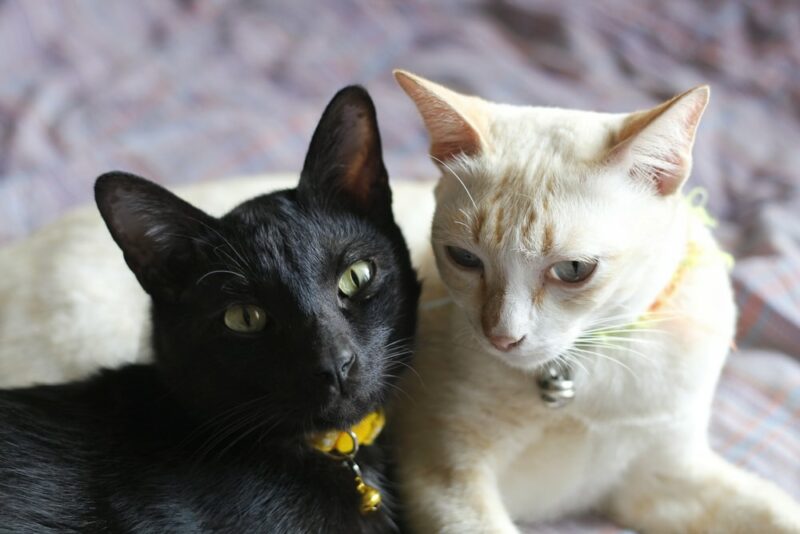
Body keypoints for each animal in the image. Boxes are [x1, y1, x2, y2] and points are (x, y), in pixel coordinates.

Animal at [392, 72, 800, 534]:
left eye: (573, 269)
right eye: (464, 258)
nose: (502, 338)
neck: (585, 367)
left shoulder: (662, 479)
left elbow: (775, 510)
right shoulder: (447, 480)